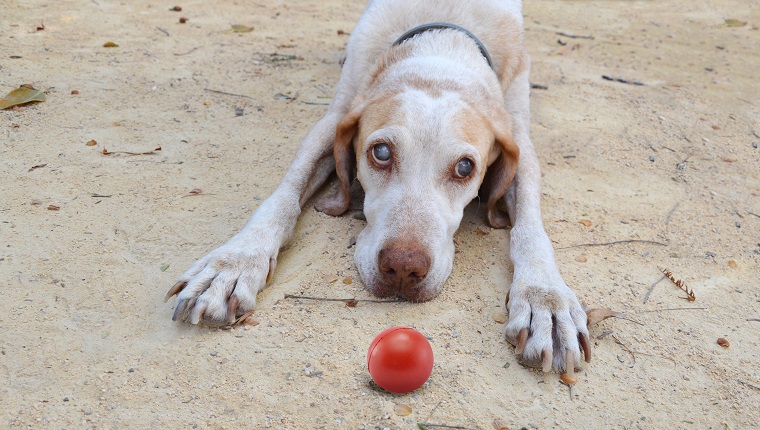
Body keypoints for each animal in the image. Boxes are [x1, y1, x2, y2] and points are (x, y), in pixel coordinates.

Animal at [168, 0, 592, 372]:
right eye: (382, 152)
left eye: (465, 167)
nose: (403, 269)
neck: (443, 42)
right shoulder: (335, 117)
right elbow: (282, 198)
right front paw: (234, 263)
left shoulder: (519, 137)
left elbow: (531, 230)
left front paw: (545, 299)